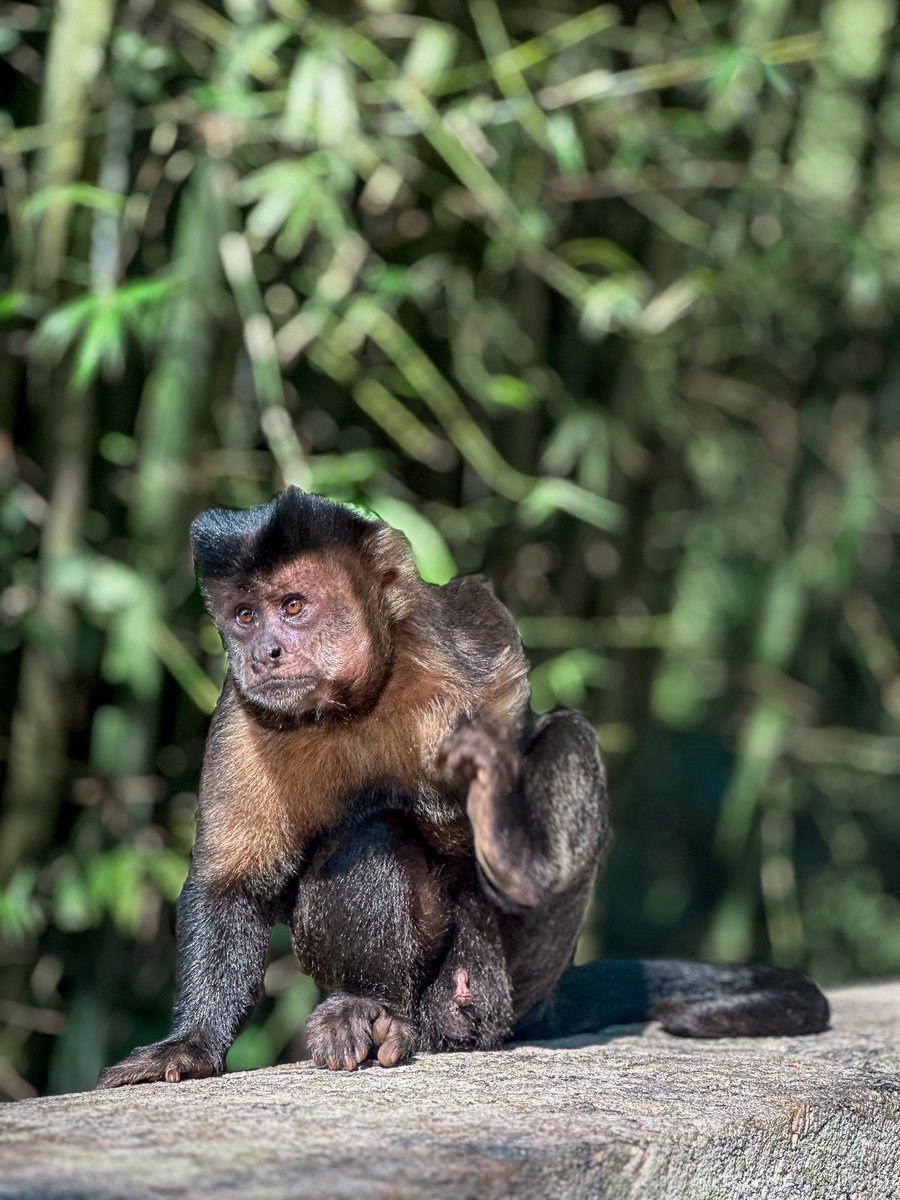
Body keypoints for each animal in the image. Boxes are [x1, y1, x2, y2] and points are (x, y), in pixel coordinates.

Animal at [97, 488, 828, 1086]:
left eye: (294, 606)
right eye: (245, 615)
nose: (264, 654)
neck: (362, 699)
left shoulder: (462, 644)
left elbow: (497, 662)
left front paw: (494, 814)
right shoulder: (242, 714)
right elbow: (234, 884)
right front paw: (191, 1045)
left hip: (507, 972)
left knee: (562, 741)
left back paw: (499, 878)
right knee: (370, 835)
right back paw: (369, 1010)